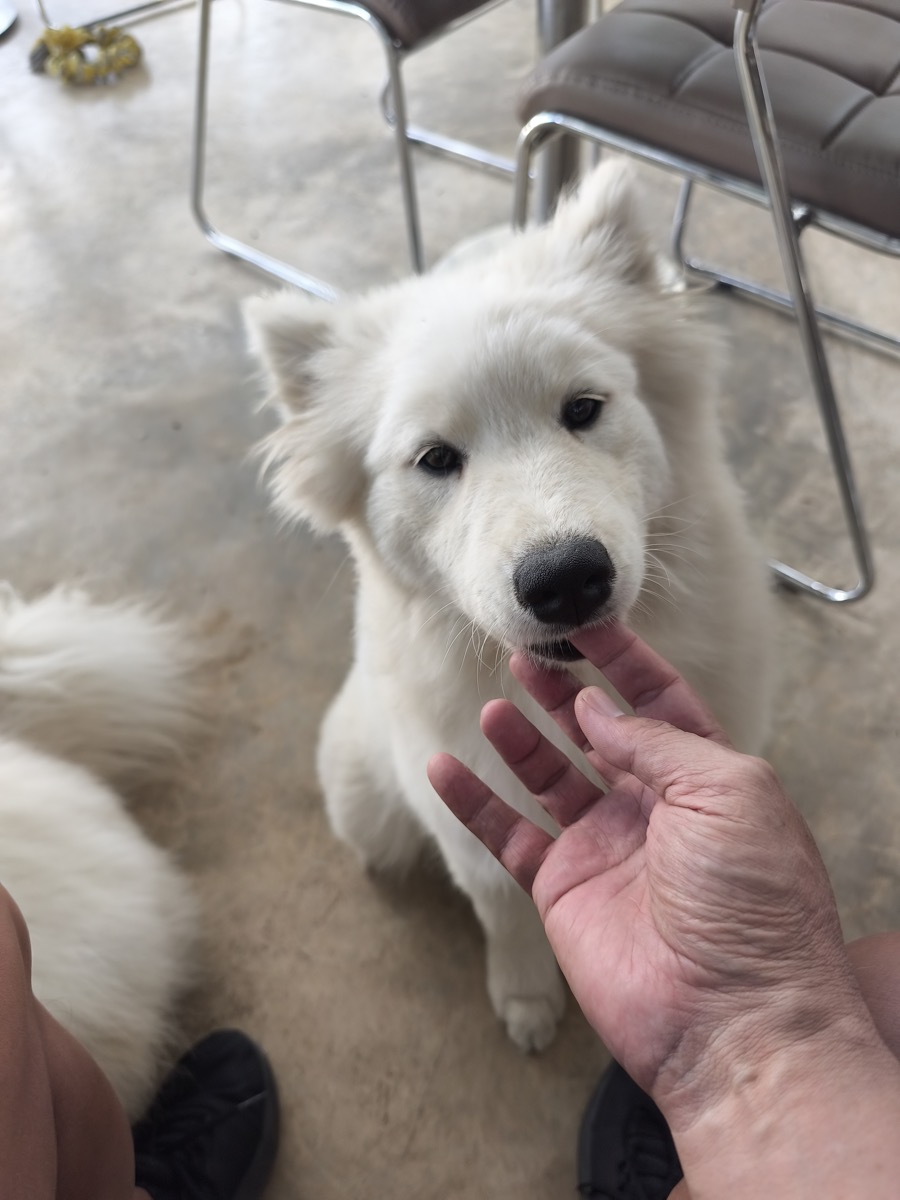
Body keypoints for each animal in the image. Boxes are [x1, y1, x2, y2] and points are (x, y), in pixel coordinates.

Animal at [245, 161, 773, 1052]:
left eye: (584, 408)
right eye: (435, 459)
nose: (566, 578)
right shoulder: (466, 801)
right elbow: (503, 907)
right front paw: (526, 999)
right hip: (362, 793)